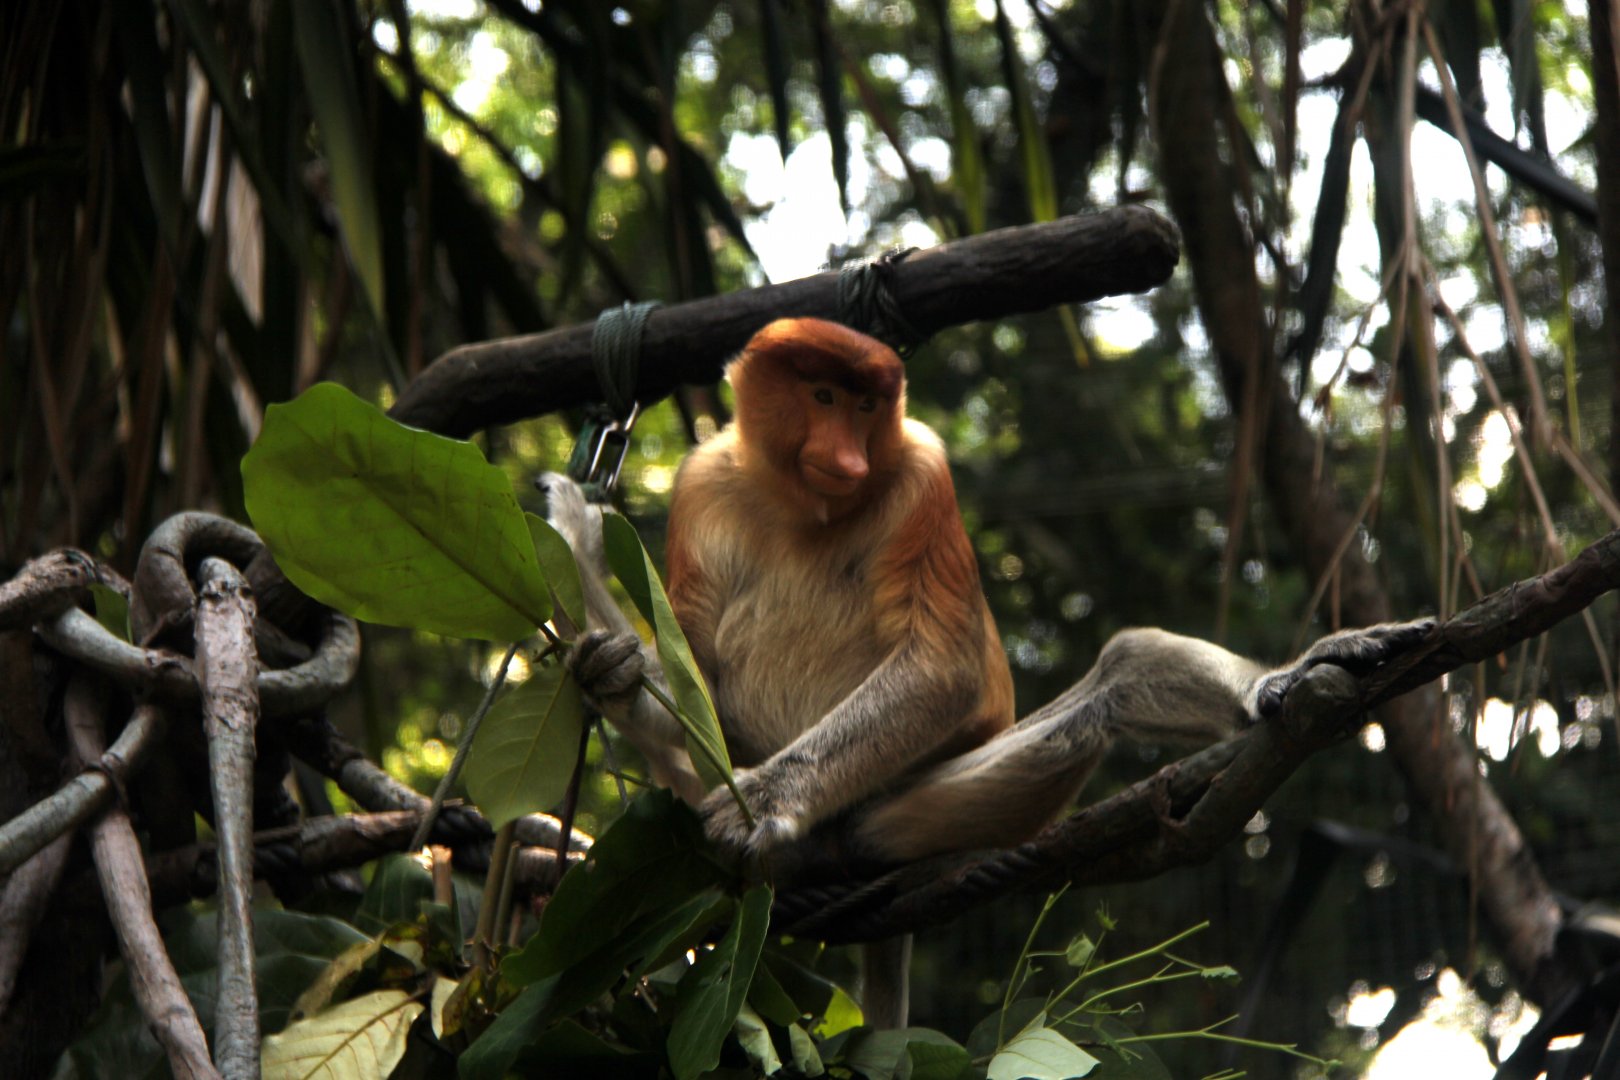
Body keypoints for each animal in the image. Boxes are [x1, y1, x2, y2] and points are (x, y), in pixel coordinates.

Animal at [545, 316, 1430, 1024]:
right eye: (822, 396)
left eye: (867, 408)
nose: (847, 456)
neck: (805, 506)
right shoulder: (702, 484)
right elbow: (689, 662)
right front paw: (611, 665)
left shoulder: (919, 477)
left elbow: (943, 671)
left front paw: (764, 797)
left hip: (894, 817)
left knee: (1119, 671)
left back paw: (1283, 682)